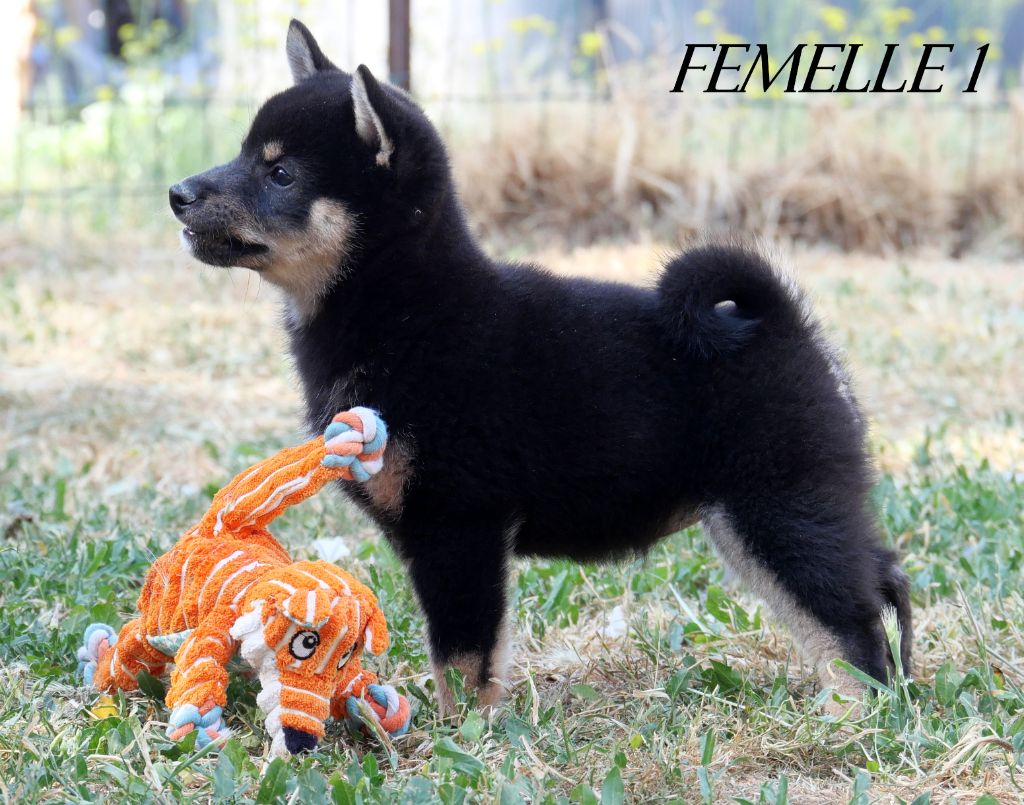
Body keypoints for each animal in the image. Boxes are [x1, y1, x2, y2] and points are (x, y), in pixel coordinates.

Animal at [169, 20, 911, 717]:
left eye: (281, 174)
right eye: (244, 154)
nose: (178, 192)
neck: (408, 312)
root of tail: (779, 321)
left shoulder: (458, 524)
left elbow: (464, 654)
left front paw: (459, 734)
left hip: (775, 509)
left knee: (845, 622)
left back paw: (854, 714)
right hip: (774, 515)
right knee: (879, 579)